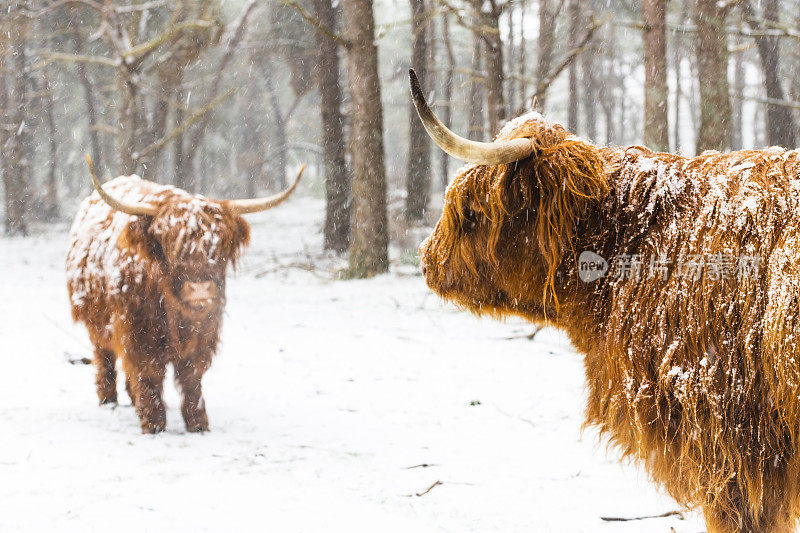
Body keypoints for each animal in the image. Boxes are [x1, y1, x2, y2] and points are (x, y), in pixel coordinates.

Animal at [65, 157, 304, 432]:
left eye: (220, 246)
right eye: (172, 247)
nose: (200, 289)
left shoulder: (204, 330)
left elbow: (191, 376)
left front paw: (198, 423)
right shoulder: (137, 332)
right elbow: (148, 373)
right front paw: (154, 423)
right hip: (96, 319)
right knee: (104, 357)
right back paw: (108, 400)